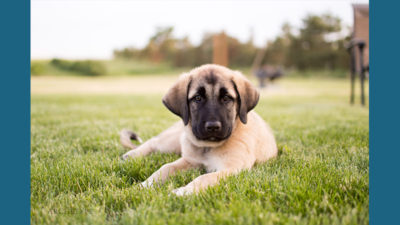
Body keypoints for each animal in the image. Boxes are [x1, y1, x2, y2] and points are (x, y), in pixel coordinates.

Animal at [120, 64, 276, 196]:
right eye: (198, 98)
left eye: (226, 98)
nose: (213, 127)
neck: (208, 147)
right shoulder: (190, 160)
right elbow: (166, 167)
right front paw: (146, 184)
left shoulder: (232, 169)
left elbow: (204, 178)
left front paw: (184, 191)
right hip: (174, 142)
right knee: (154, 141)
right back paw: (132, 155)